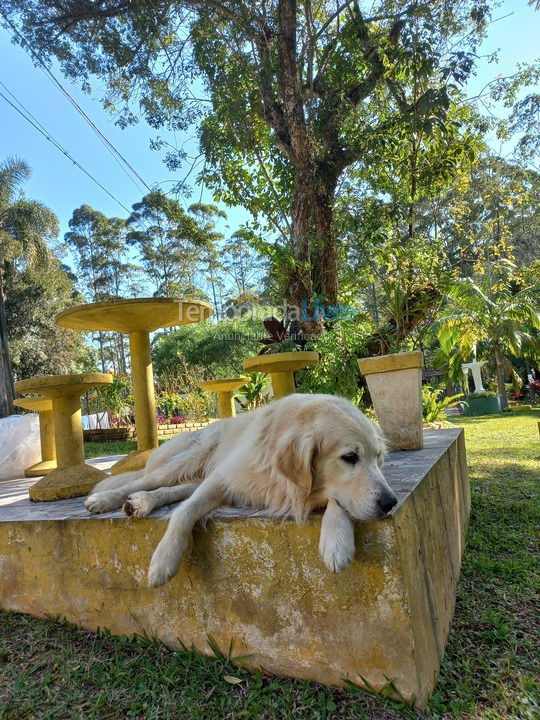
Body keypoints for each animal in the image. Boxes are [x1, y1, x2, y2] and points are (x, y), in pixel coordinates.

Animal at [85, 394, 396, 584]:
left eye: (377, 457)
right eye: (349, 457)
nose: (391, 503)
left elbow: (337, 500)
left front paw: (336, 541)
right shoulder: (222, 479)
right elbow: (183, 514)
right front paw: (163, 561)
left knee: (170, 490)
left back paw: (140, 503)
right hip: (188, 459)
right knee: (143, 481)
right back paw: (104, 499)